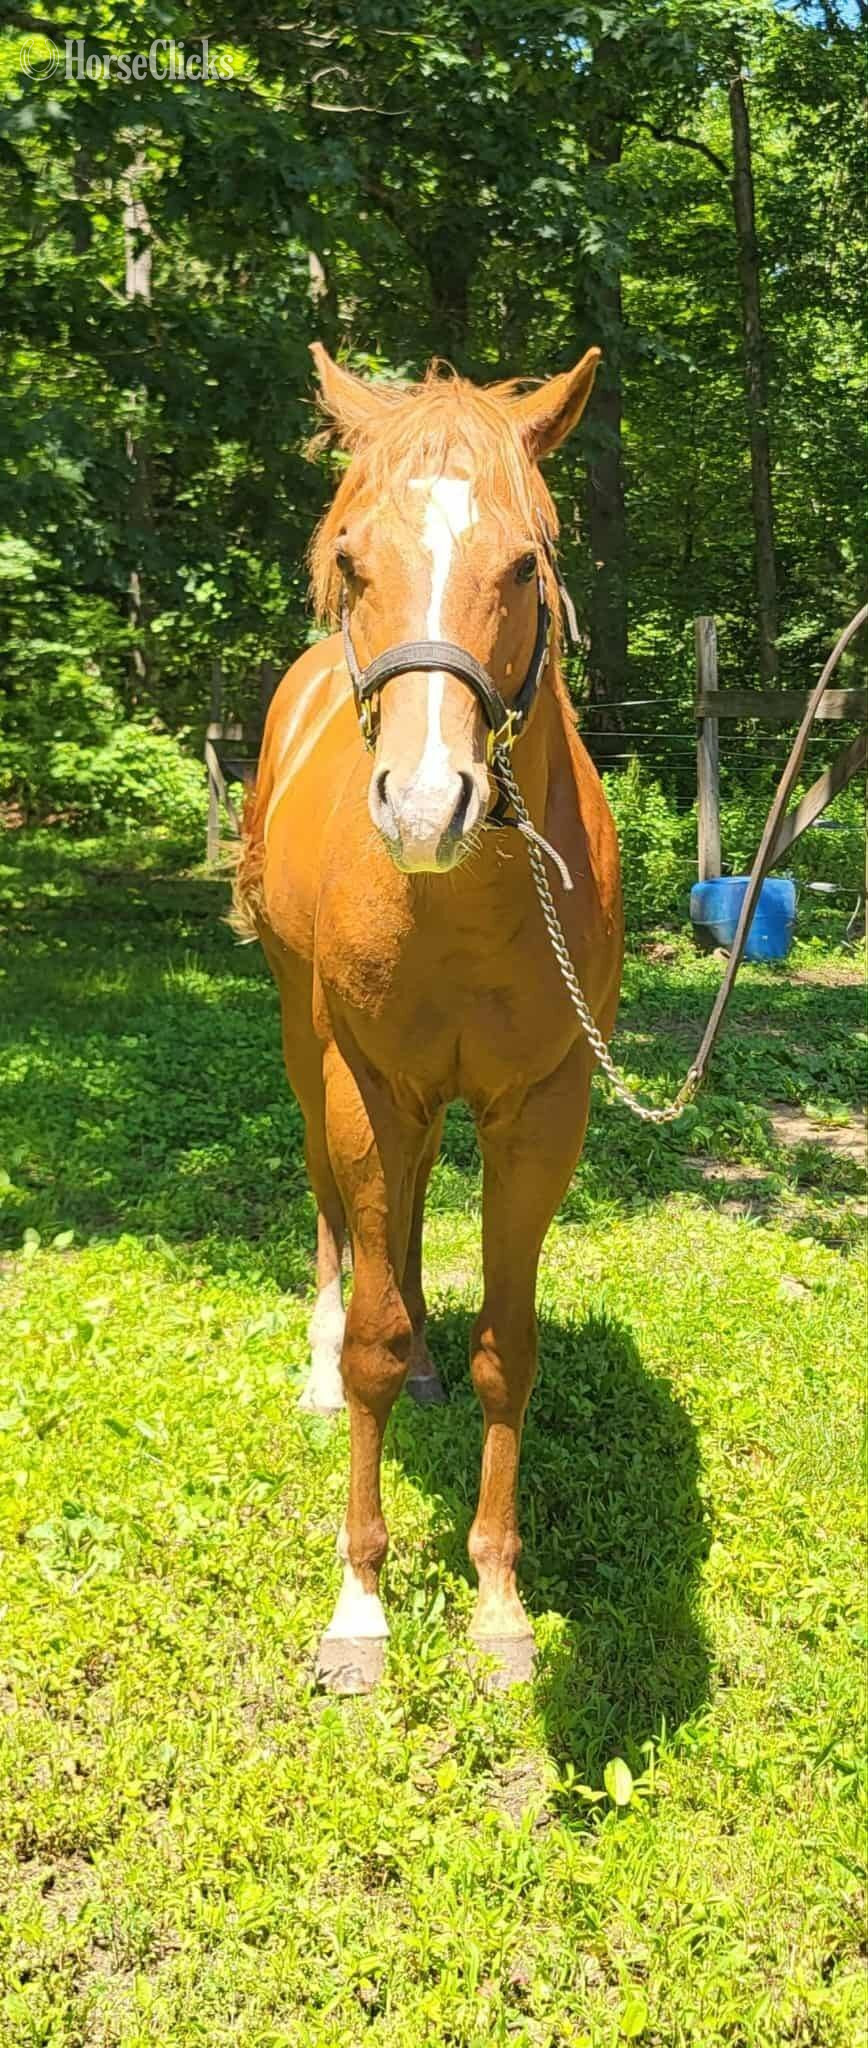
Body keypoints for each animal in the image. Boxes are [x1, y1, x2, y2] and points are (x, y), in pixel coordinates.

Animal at [233, 343, 623, 1692]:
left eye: (525, 564)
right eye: (354, 558)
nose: (422, 803)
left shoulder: (540, 1108)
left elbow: (512, 1345)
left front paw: (499, 1602)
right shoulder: (364, 1082)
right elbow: (368, 1342)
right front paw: (359, 1609)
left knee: (399, 1224)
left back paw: (431, 1366)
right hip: (311, 1061)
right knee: (336, 1216)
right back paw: (321, 1356)